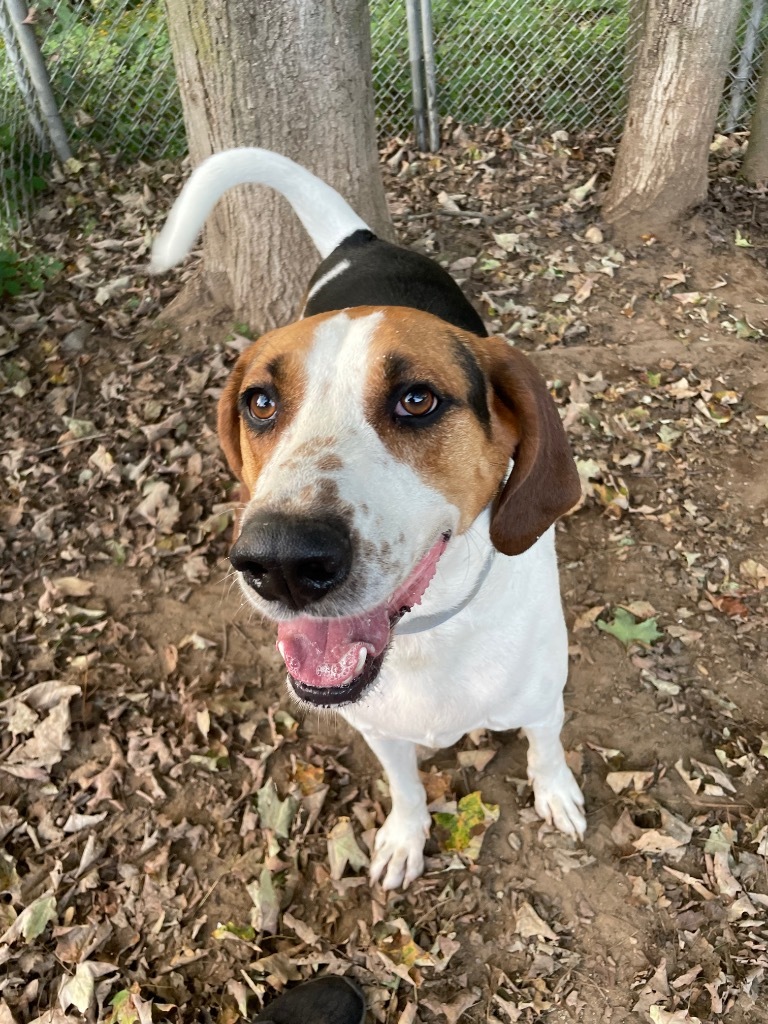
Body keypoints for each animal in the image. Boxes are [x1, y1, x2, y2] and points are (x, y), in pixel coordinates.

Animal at [150, 148, 585, 892]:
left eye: (417, 399)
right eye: (260, 402)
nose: (281, 561)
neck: (428, 633)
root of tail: (362, 240)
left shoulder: (541, 703)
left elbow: (547, 750)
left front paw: (555, 793)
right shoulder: (378, 728)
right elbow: (406, 787)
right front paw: (406, 837)